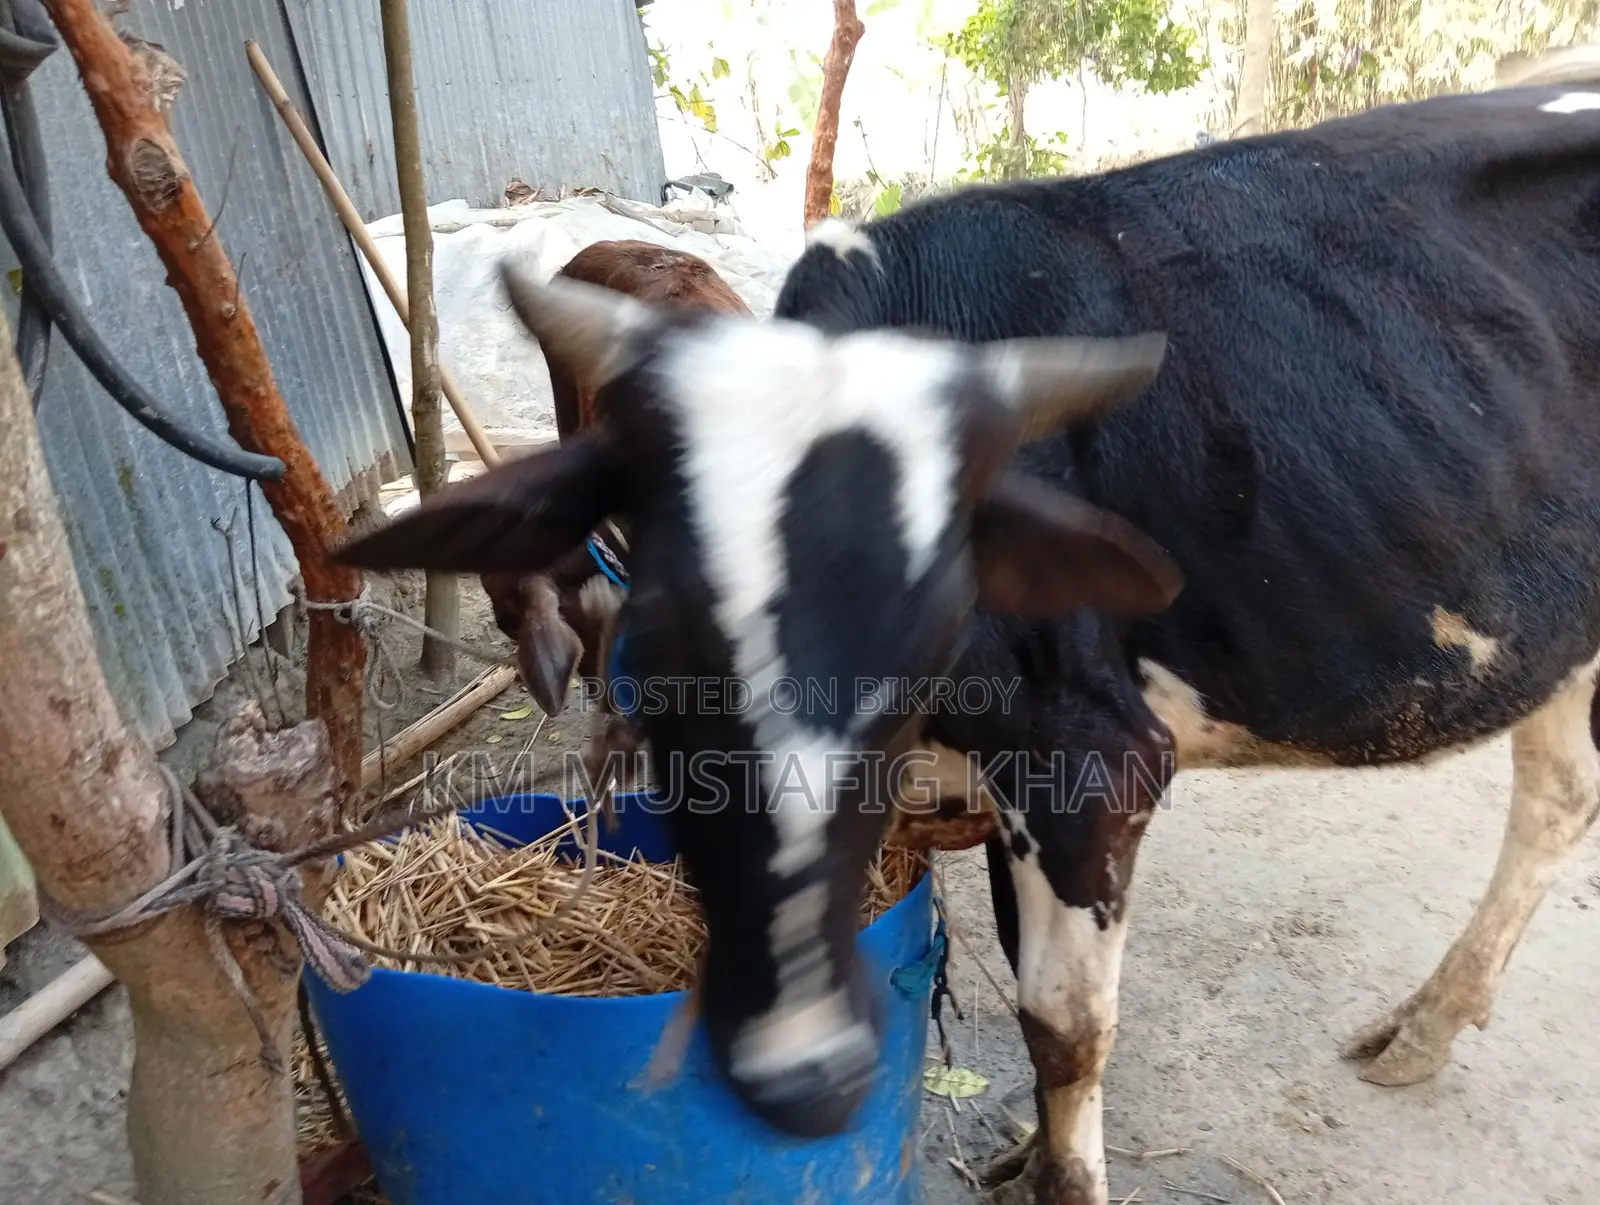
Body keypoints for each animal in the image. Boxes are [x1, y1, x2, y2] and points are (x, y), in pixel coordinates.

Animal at [338, 84, 1600, 1205]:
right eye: (662, 661)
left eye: (919, 620)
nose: (801, 1072)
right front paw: (1027, 1157)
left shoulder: (1091, 755)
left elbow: (1062, 1023)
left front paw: (1063, 1180)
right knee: (1560, 792)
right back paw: (1424, 1023)